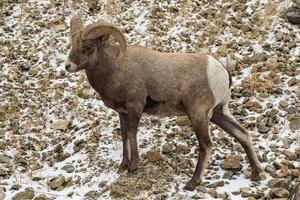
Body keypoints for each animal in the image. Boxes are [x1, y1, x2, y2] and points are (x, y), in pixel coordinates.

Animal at [65, 15, 262, 191]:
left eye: (88, 47)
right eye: (73, 45)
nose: (67, 66)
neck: (116, 68)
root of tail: (221, 70)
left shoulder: (135, 106)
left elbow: (132, 132)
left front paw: (133, 167)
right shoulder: (122, 112)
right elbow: (124, 135)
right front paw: (123, 166)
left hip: (198, 114)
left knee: (206, 145)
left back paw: (191, 183)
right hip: (219, 113)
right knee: (242, 134)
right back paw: (256, 173)